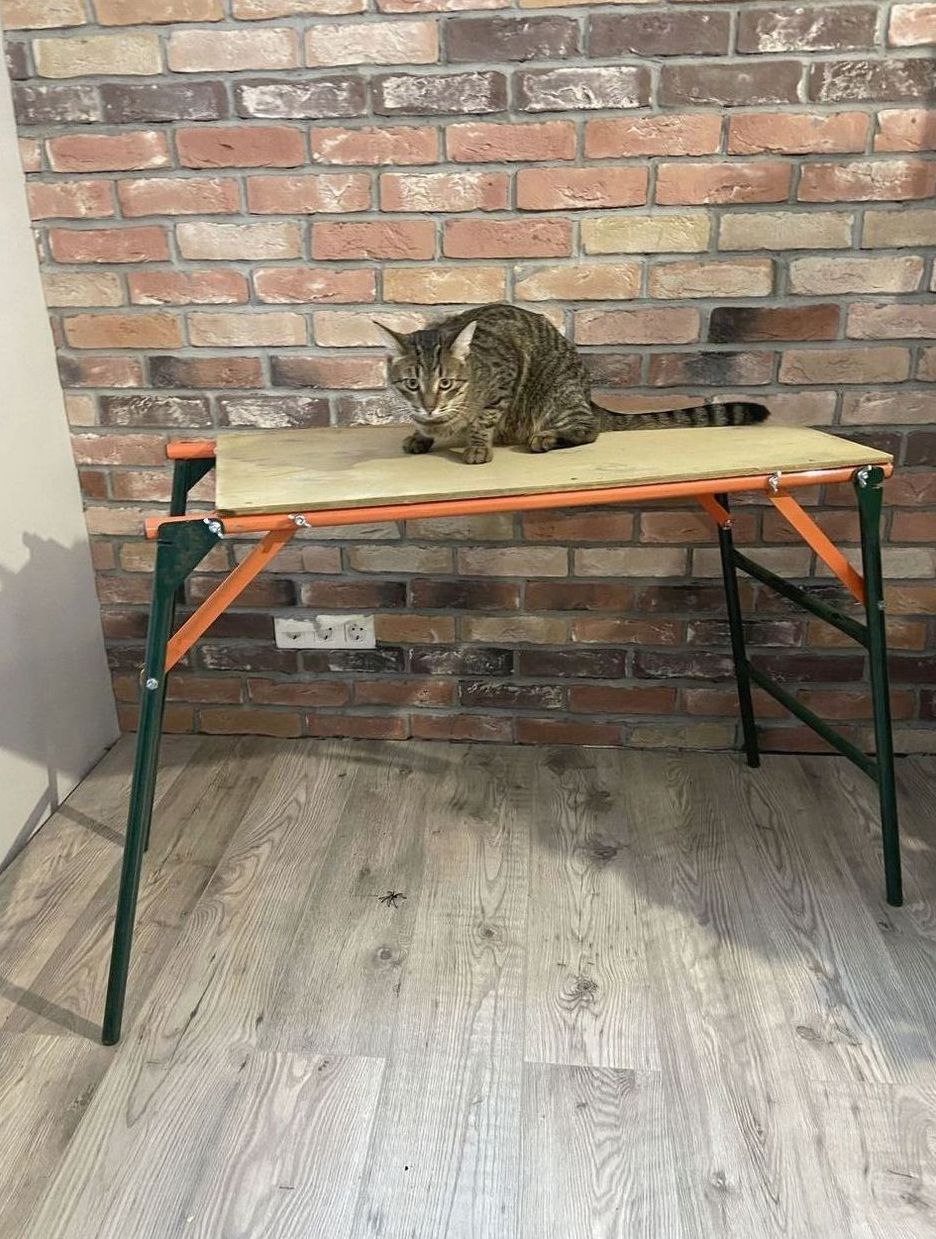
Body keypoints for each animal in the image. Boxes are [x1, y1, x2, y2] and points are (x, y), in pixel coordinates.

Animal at [376, 303, 769, 465]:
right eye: (411, 384)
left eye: (445, 383)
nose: (429, 405)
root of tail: (588, 395)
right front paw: (421, 434)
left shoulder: (505, 374)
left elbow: (485, 418)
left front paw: (475, 444)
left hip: (556, 395)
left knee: (588, 428)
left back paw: (547, 438)